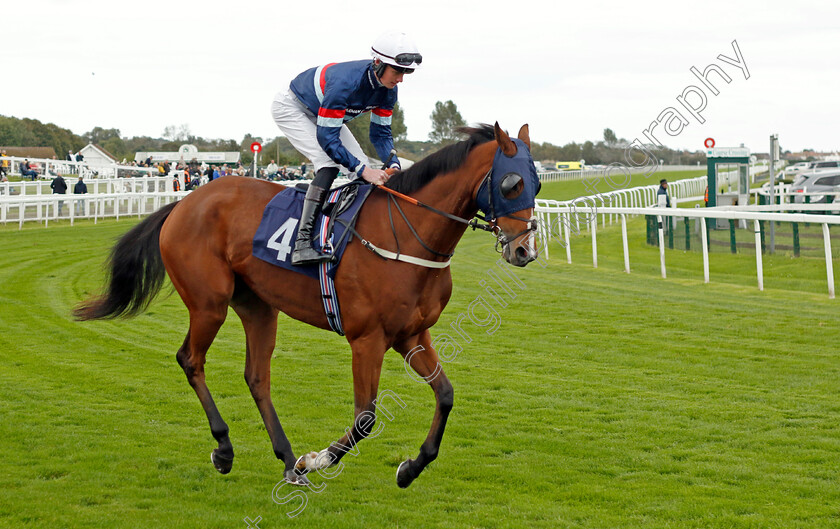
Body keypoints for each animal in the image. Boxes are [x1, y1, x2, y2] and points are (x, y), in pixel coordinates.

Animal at [75, 122, 540, 486]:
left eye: (536, 182)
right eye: (511, 184)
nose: (525, 250)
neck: (408, 236)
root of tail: (183, 203)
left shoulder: (411, 334)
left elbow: (445, 395)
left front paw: (409, 468)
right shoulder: (367, 338)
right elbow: (365, 417)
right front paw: (317, 460)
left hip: (259, 307)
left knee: (256, 377)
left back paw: (285, 459)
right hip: (210, 303)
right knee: (191, 359)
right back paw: (226, 449)